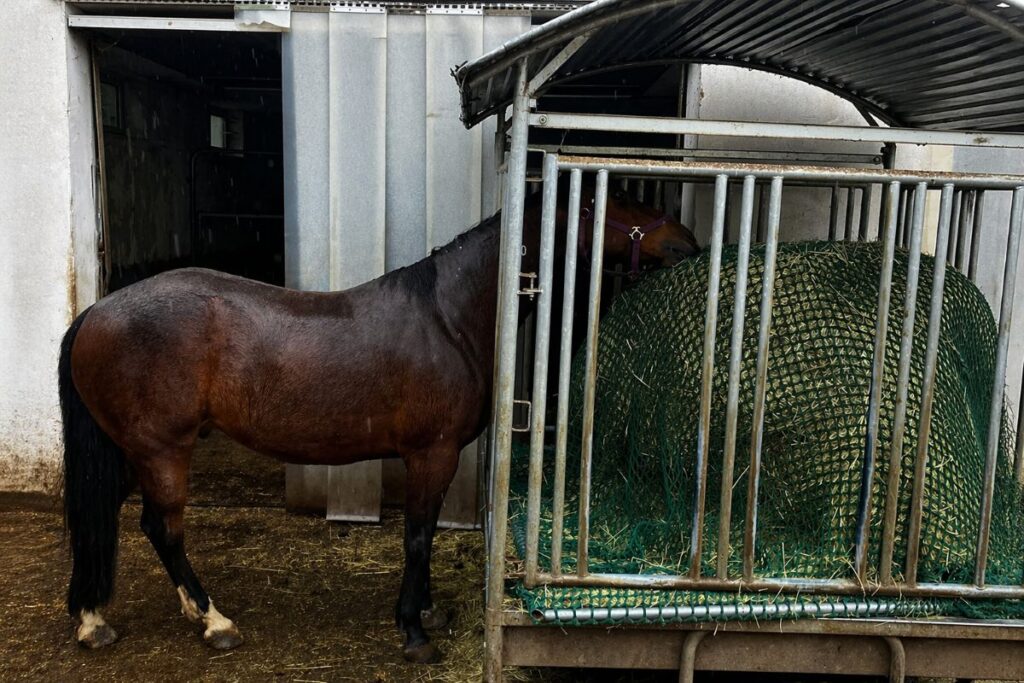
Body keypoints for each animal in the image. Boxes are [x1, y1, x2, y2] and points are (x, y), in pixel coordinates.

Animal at [58, 183, 699, 663]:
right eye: (616, 199)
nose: (687, 241)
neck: (448, 319)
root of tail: (96, 311)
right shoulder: (431, 453)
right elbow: (417, 536)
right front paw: (413, 633)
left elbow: (429, 532)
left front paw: (428, 613)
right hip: (163, 449)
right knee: (162, 530)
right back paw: (213, 621)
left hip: (134, 451)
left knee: (115, 518)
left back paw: (98, 619)